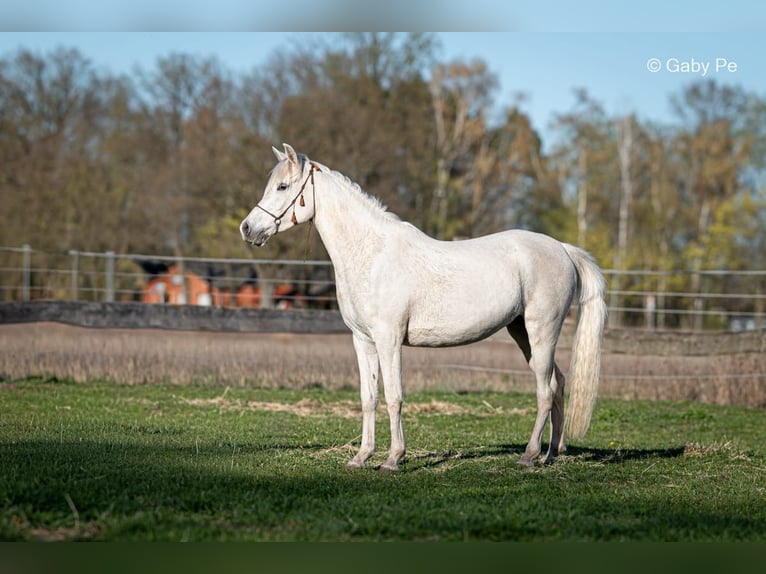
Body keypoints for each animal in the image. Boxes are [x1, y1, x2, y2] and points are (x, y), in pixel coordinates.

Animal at [240, 143, 607, 470]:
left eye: (283, 186)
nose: (247, 228)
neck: (372, 254)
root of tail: (562, 248)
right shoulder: (363, 340)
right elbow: (368, 398)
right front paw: (361, 457)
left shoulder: (389, 339)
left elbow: (394, 396)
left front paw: (393, 459)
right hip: (523, 333)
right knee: (558, 384)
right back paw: (552, 454)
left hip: (542, 331)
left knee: (545, 390)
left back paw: (529, 456)